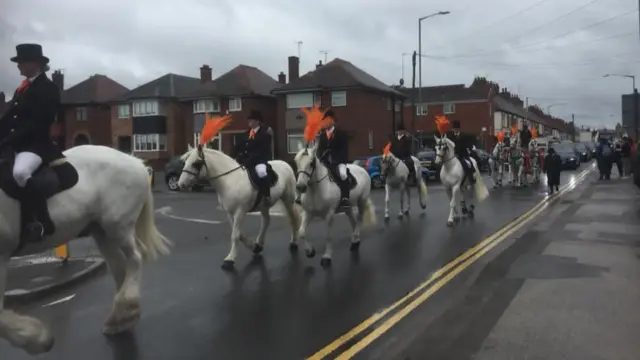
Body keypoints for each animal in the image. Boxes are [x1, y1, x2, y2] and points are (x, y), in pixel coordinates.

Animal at [0, 146, 171, 354]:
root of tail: (135, 162)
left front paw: (38, 339)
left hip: (117, 226)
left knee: (135, 257)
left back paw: (124, 309)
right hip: (102, 232)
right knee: (120, 267)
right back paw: (122, 317)